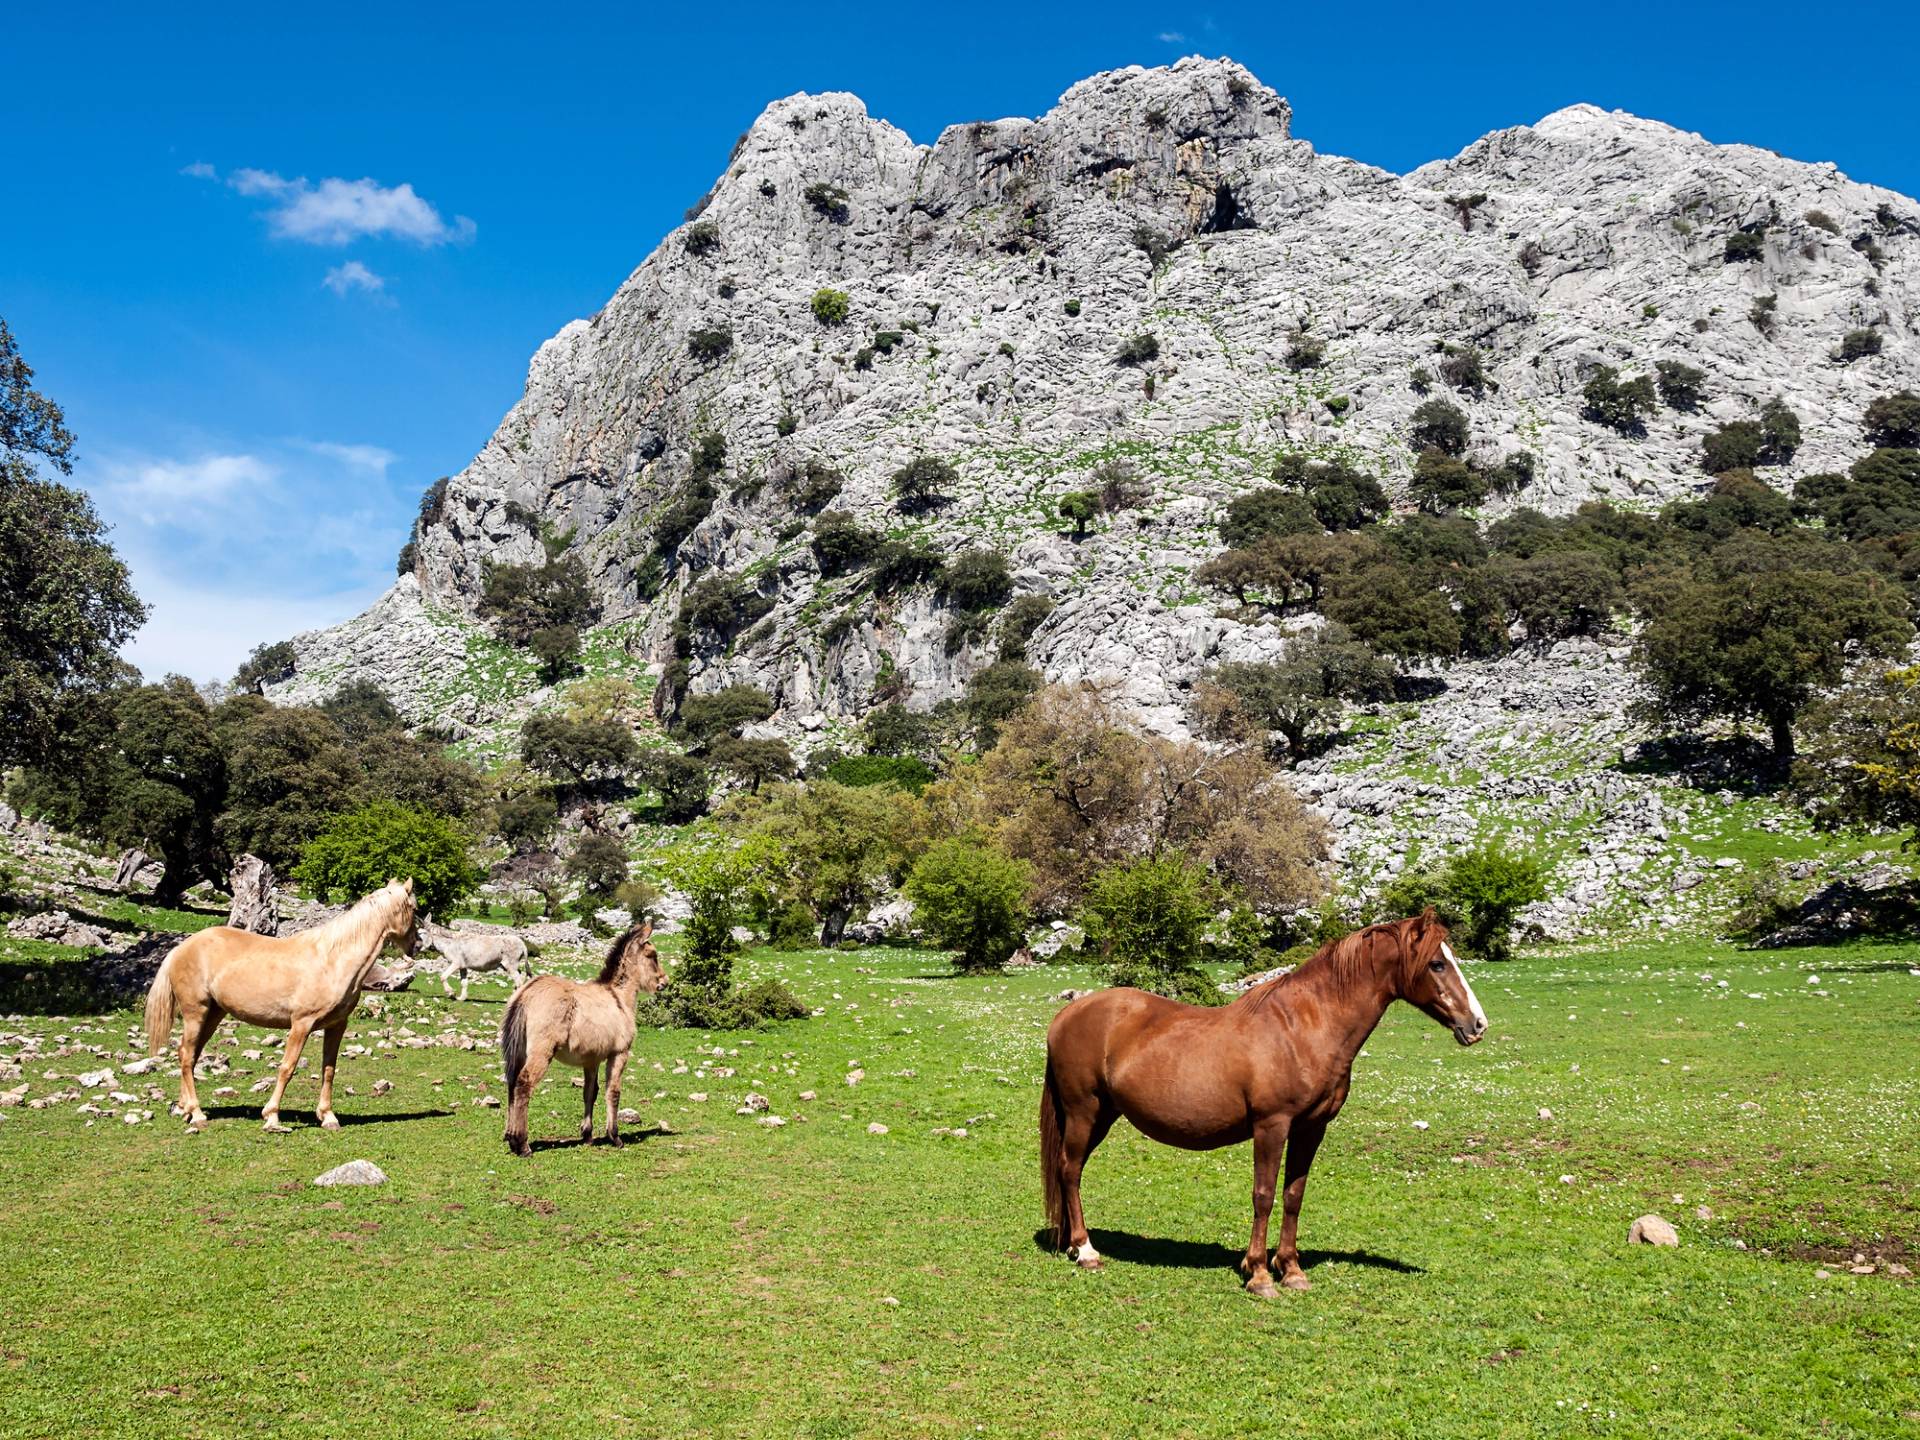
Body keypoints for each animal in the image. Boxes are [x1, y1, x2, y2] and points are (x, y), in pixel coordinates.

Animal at [144, 877, 420, 1133]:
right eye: (414, 908)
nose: (416, 946)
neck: (333, 959)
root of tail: (180, 949)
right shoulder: (301, 1024)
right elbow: (287, 1067)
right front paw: (272, 1117)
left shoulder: (337, 1025)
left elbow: (329, 1070)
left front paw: (328, 1117)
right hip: (195, 1012)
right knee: (187, 1055)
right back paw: (197, 1113)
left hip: (213, 1014)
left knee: (189, 1054)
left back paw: (184, 1109)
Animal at [500, 922, 663, 1156]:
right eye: (652, 955)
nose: (664, 982)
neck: (618, 999)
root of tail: (526, 994)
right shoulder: (619, 1054)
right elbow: (613, 1092)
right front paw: (615, 1137)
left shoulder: (591, 1060)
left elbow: (590, 1093)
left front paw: (587, 1135)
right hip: (541, 1053)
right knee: (524, 1084)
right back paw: (521, 1144)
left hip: (520, 1051)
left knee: (512, 1084)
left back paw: (511, 1137)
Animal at [1039, 909, 1487, 1297]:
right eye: (1437, 964)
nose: (1478, 1025)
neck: (1303, 1028)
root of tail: (1066, 1015)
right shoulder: (1271, 1125)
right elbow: (1264, 1194)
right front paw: (1257, 1274)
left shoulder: (1311, 1128)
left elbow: (1293, 1196)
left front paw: (1291, 1270)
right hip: (1084, 1112)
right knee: (1070, 1170)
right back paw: (1087, 1251)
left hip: (1102, 1116)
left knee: (1069, 1170)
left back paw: (1073, 1245)